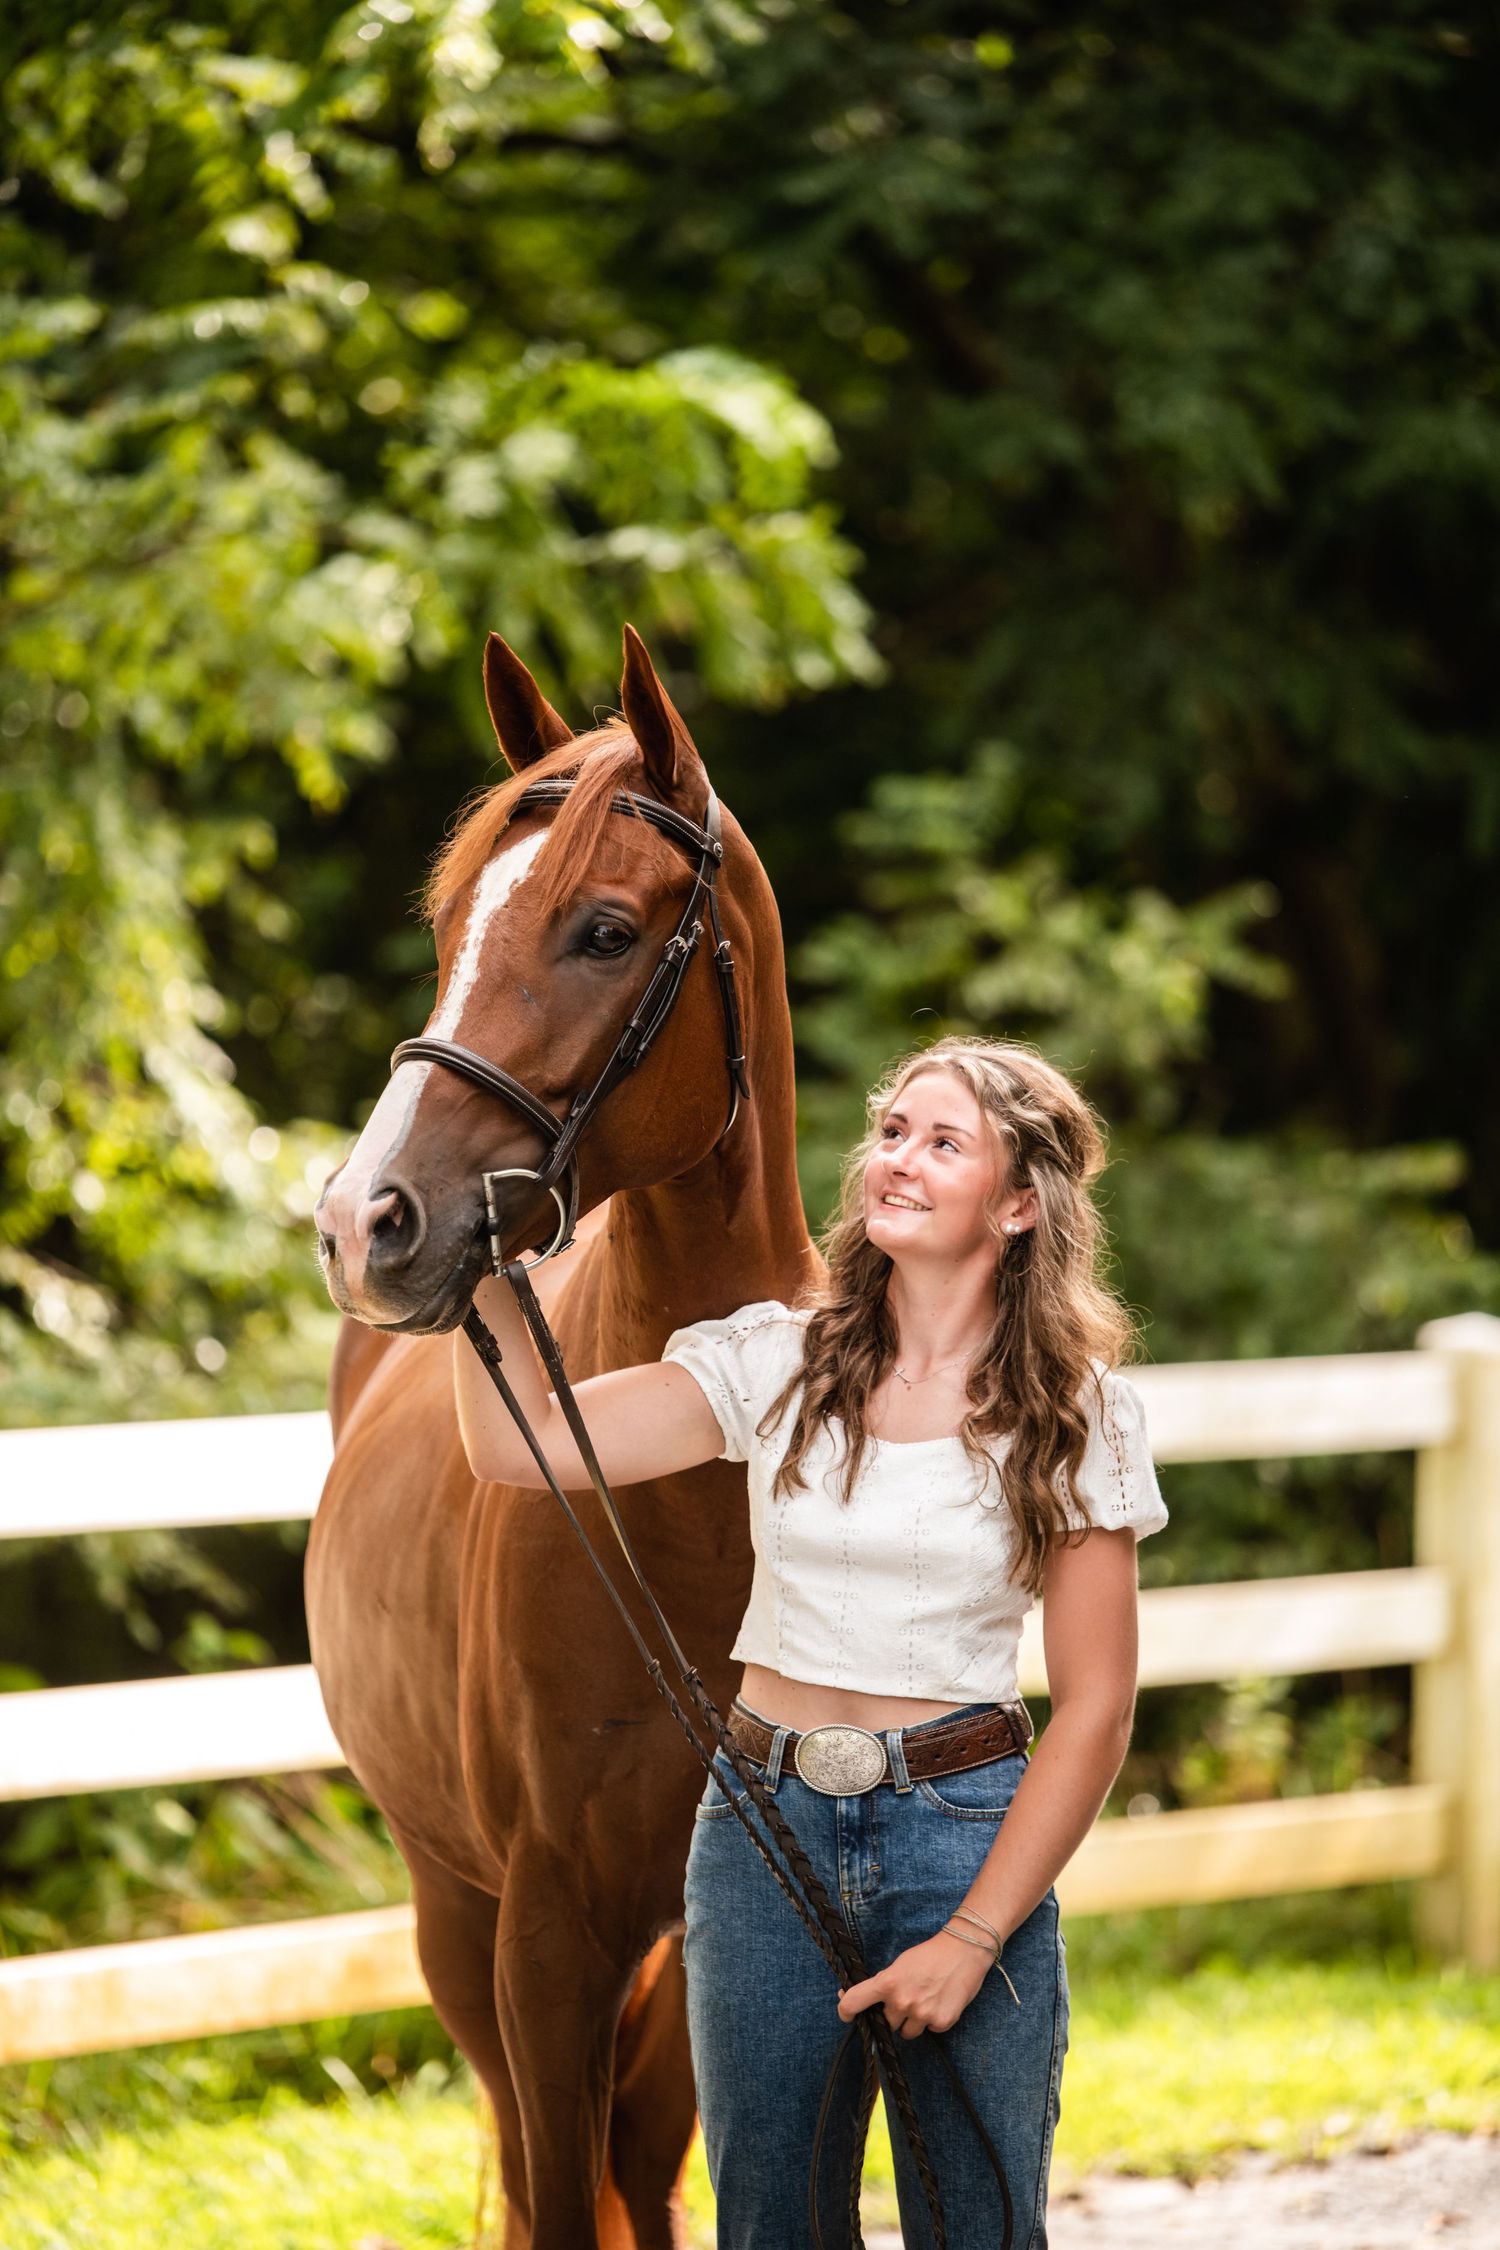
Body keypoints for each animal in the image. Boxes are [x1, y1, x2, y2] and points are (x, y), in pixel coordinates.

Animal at [306, 625, 818, 2248]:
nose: (366, 1218)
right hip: (452, 1917)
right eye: (453, 921)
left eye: (602, 930)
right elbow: (553, 2194)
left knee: (642, 2163)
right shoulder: (545, 1938)